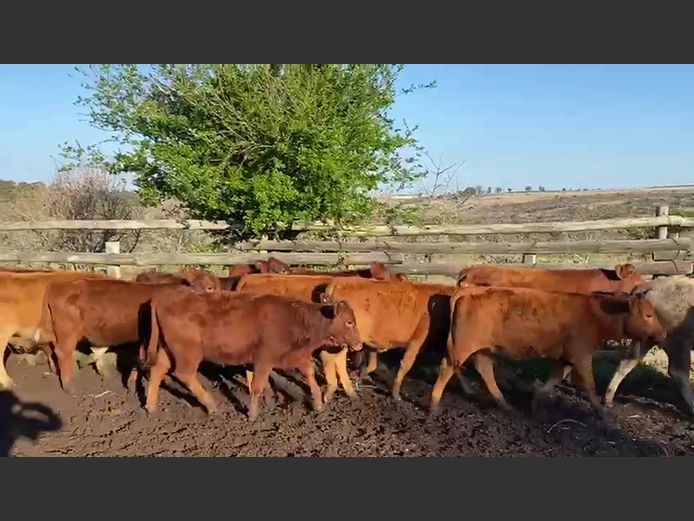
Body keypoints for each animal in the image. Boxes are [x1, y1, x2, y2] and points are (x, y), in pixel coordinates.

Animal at [32, 276, 216, 390]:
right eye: (209, 288)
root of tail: (59, 285)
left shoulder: (143, 338)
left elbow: (140, 358)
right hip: (67, 332)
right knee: (63, 352)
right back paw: (69, 385)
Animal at [318, 278, 454, 400]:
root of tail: (338, 281)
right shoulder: (417, 341)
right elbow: (405, 365)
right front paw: (396, 394)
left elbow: (372, 365)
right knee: (336, 359)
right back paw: (348, 391)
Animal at [436, 284, 668, 418]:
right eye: (648, 315)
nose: (663, 333)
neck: (594, 314)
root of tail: (469, 290)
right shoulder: (582, 356)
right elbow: (590, 385)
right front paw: (601, 411)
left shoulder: (565, 359)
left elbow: (555, 379)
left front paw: (535, 402)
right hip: (464, 345)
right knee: (449, 366)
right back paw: (434, 404)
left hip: (483, 349)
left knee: (482, 369)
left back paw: (503, 403)